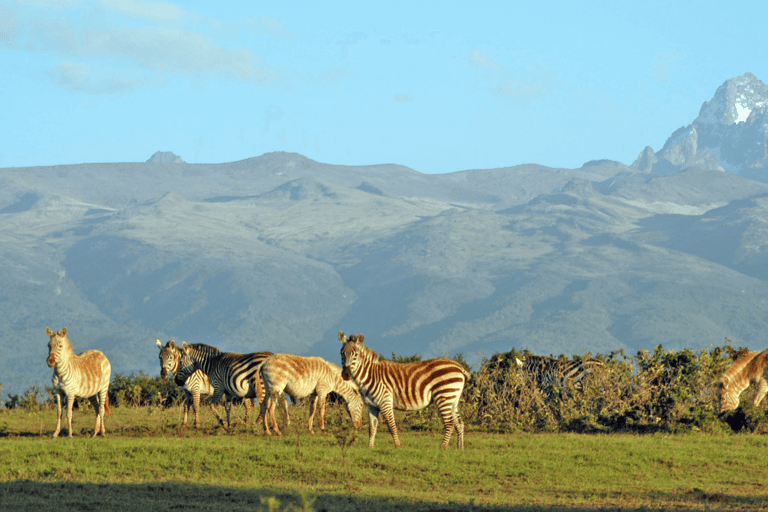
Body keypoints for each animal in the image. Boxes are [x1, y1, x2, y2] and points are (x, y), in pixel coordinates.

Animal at [340, 330, 472, 450]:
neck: (370, 375)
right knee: (459, 423)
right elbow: (372, 427)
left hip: (444, 396)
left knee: (449, 423)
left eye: (356, 355)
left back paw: (443, 448)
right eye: (342, 353)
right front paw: (370, 447)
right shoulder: (371, 406)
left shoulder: (385, 402)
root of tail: (459, 366)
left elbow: (391, 426)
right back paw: (460, 448)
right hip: (453, 399)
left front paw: (398, 446)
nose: (346, 375)